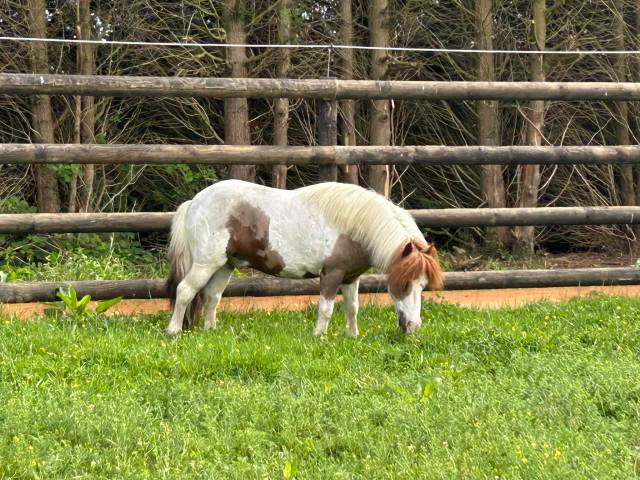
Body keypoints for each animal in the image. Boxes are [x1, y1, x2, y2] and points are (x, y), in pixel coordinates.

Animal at [165, 179, 443, 337]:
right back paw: (173, 331)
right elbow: (326, 309)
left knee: (212, 296)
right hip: (206, 263)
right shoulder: (331, 275)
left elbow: (352, 307)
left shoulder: (350, 277)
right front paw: (319, 336)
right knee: (185, 291)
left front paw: (352, 336)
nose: (413, 327)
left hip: (225, 265)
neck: (354, 225)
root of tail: (194, 202)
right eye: (404, 284)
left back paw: (210, 331)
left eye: (423, 286)